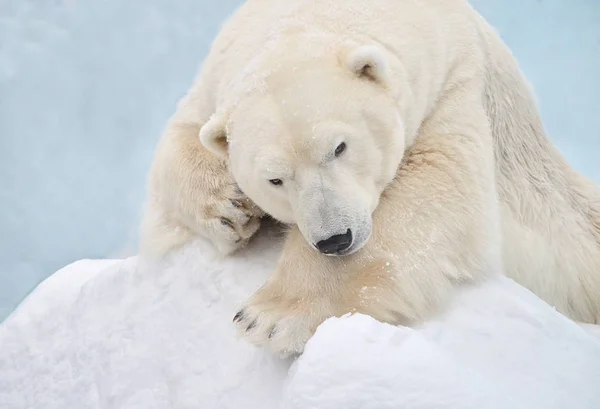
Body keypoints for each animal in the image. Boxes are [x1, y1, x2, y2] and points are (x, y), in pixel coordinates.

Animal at [141, 0, 600, 354]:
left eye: (339, 147)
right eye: (275, 180)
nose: (334, 239)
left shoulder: (452, 80)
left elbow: (430, 188)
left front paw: (270, 316)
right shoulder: (217, 77)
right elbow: (183, 134)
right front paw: (230, 209)